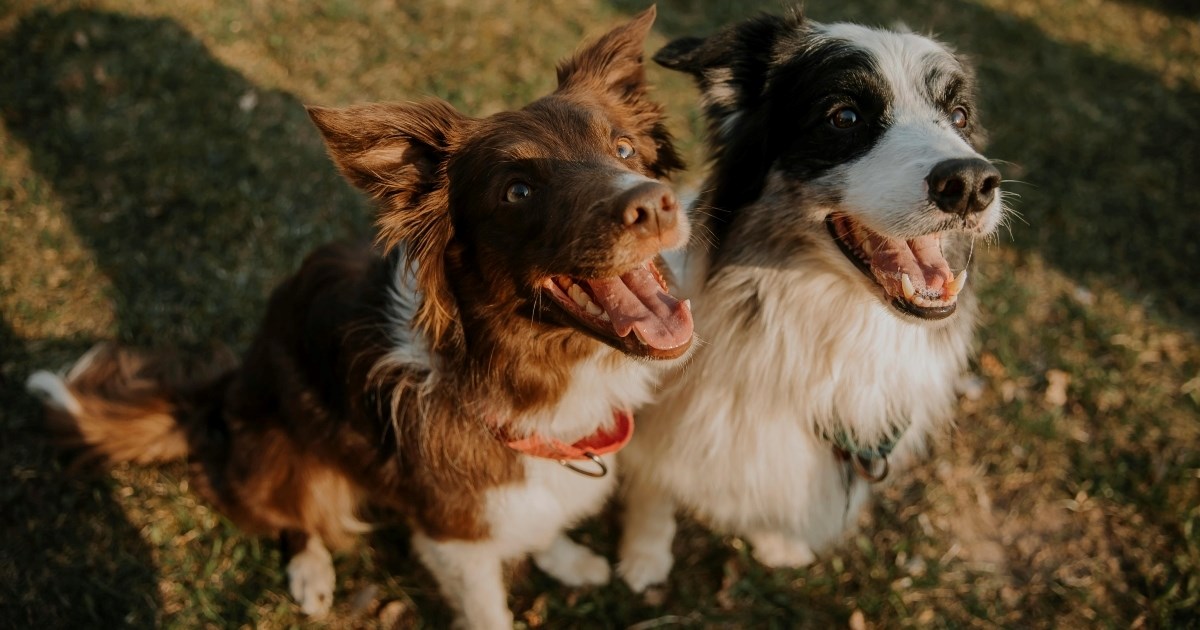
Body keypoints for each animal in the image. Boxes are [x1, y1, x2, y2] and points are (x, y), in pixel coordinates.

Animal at [619, 11, 1003, 590]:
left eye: (959, 116)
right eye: (843, 116)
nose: (972, 183)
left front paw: (777, 541)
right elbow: (654, 482)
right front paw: (644, 557)